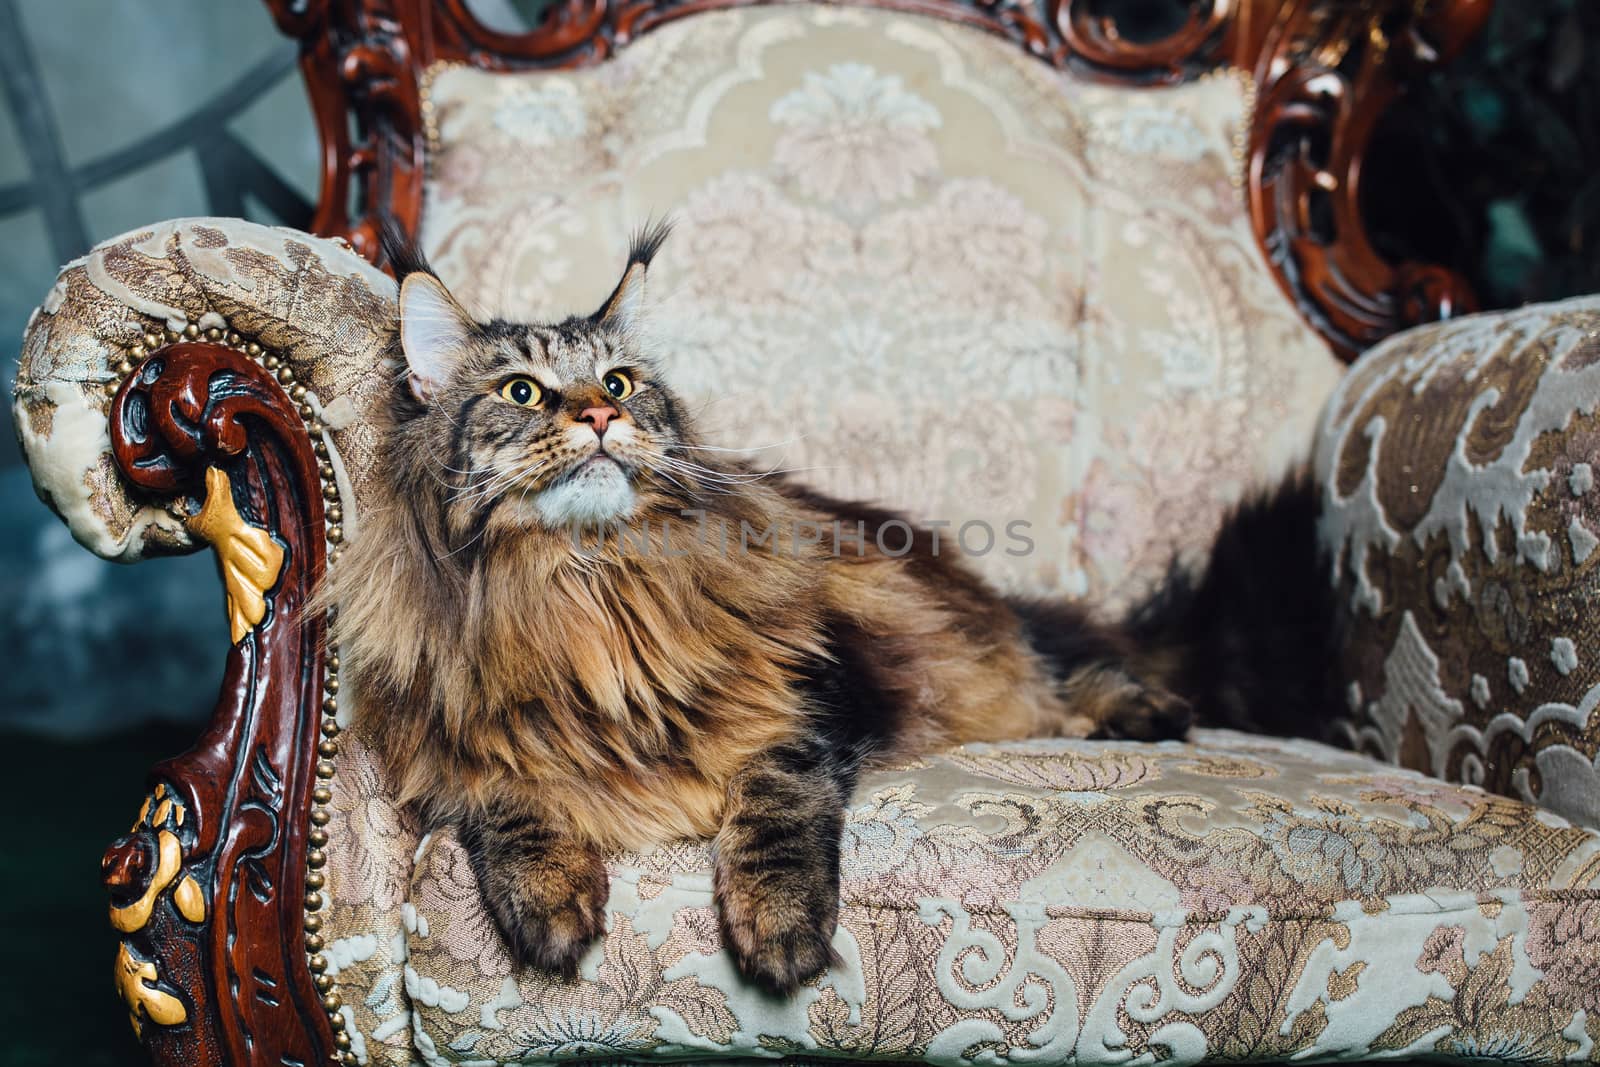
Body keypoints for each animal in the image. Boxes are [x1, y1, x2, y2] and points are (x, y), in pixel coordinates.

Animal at [321, 220, 1324, 998]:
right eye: (522, 391)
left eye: (618, 382)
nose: (602, 420)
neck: (590, 586)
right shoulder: (455, 738)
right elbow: (508, 799)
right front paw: (551, 902)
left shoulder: (811, 693)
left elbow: (775, 798)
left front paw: (777, 922)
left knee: (1061, 669)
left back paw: (1142, 712)